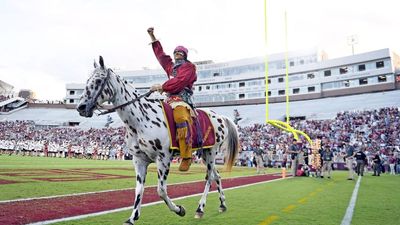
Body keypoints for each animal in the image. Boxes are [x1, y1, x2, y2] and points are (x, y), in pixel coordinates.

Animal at [76, 56, 239, 225]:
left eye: (98, 80)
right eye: (87, 80)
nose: (81, 107)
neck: (141, 119)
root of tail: (221, 117)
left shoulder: (163, 159)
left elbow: (161, 190)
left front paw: (179, 209)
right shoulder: (139, 160)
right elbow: (139, 189)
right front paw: (133, 217)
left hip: (211, 152)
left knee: (208, 178)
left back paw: (200, 208)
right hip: (205, 154)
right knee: (216, 176)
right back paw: (222, 204)